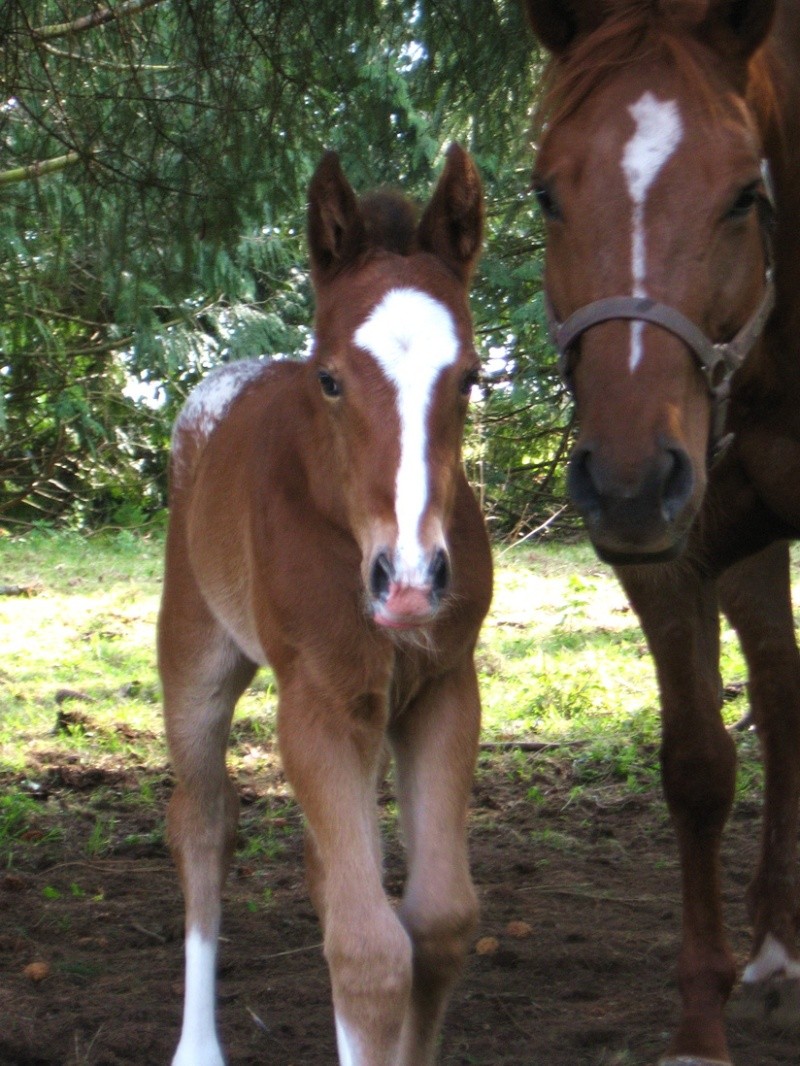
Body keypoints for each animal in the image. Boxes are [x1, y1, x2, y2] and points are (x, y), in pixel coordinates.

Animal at [158, 143, 492, 1066]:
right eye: (332, 379)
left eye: (471, 378)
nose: (408, 581)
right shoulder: (316, 702)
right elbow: (369, 949)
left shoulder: (441, 690)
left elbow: (438, 922)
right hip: (194, 656)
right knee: (203, 824)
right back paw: (196, 1047)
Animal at [526, 2, 800, 1066]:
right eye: (547, 193)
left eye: (743, 196)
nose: (632, 482)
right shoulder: (672, 561)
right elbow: (697, 767)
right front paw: (699, 1021)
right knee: (781, 692)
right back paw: (776, 947)